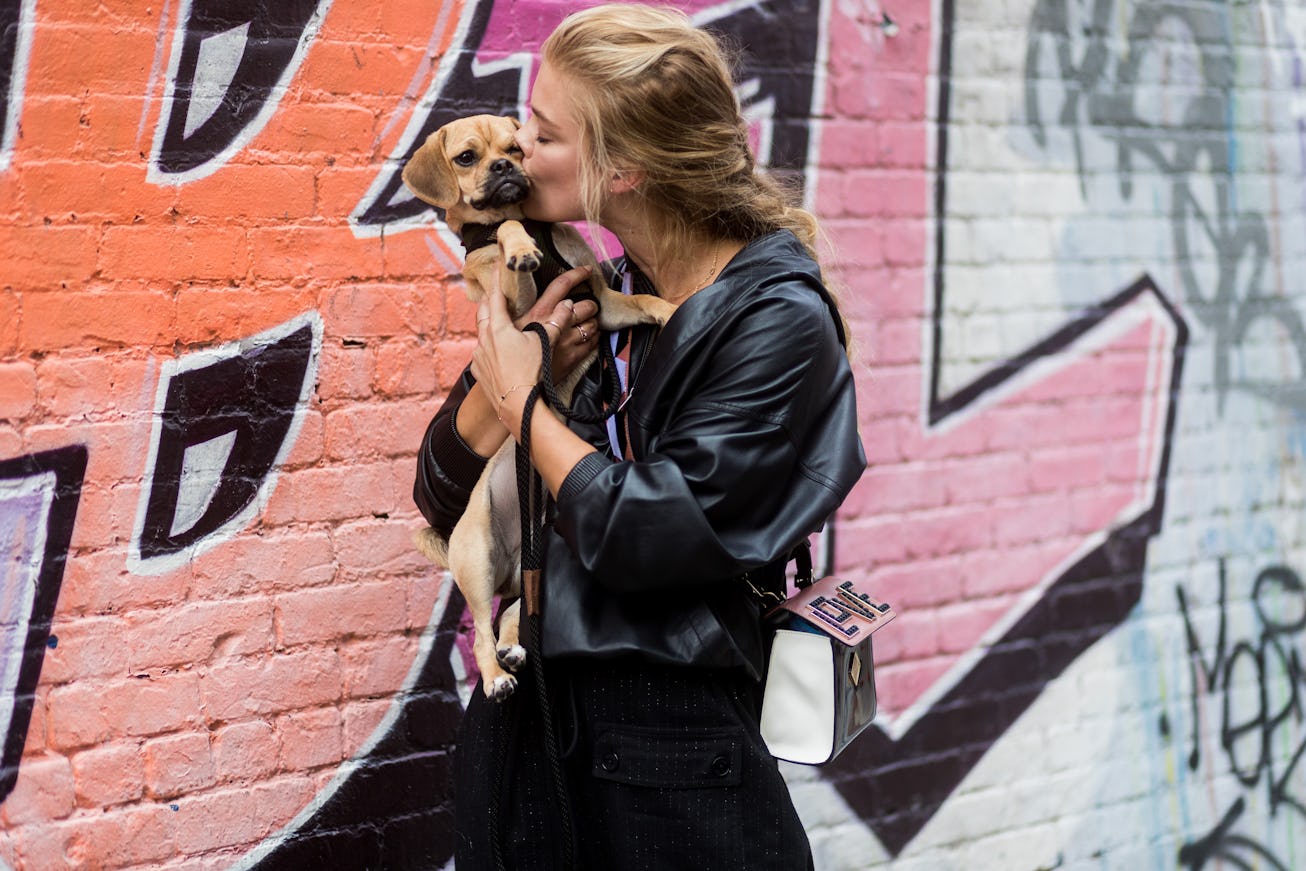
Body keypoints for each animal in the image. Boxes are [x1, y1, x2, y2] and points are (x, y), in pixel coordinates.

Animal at [404, 117, 673, 699]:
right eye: (466, 158)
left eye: (516, 148)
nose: (506, 167)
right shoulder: (522, 310)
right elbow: (508, 234)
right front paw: (518, 245)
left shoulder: (601, 301)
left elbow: (640, 303)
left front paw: (670, 307)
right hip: (477, 558)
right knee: (482, 630)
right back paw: (496, 676)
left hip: (539, 563)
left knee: (516, 613)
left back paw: (514, 648)